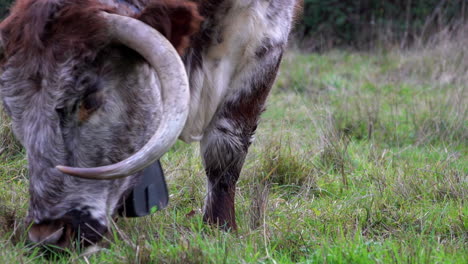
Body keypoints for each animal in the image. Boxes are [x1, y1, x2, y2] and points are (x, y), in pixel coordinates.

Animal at [0, 0, 300, 248]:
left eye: (89, 100)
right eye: (14, 112)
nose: (47, 235)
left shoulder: (265, 48)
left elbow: (225, 150)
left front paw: (220, 228)